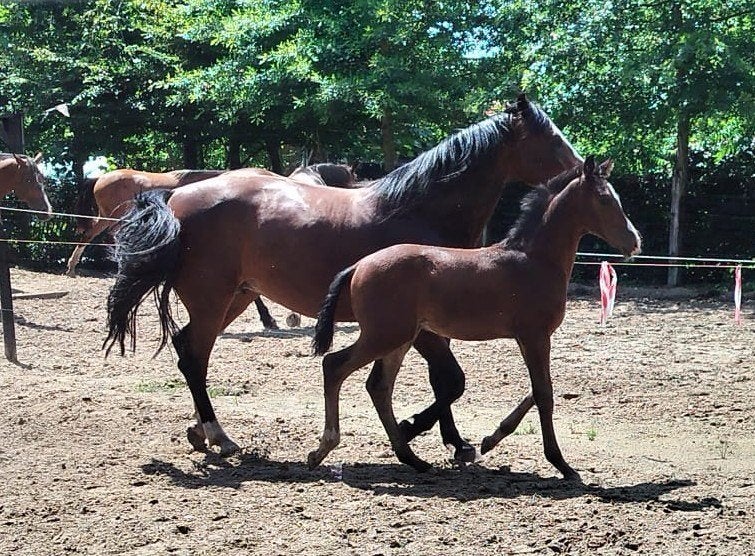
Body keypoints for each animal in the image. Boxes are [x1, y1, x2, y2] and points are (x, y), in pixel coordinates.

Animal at [103, 94, 583, 458]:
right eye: (552, 138)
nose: (583, 168)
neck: (420, 208)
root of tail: (176, 194)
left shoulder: (429, 325)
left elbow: (444, 382)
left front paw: (454, 440)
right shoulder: (421, 328)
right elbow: (449, 381)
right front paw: (416, 429)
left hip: (234, 298)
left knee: (189, 350)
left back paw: (202, 433)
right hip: (211, 299)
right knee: (193, 357)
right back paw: (220, 436)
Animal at [310, 157, 641, 480]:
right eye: (604, 199)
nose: (635, 241)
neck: (535, 260)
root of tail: (358, 265)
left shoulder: (529, 338)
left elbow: (537, 390)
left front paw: (490, 439)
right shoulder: (535, 336)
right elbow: (544, 394)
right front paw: (562, 464)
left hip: (400, 339)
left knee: (379, 387)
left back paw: (413, 458)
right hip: (384, 335)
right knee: (334, 366)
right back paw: (323, 448)